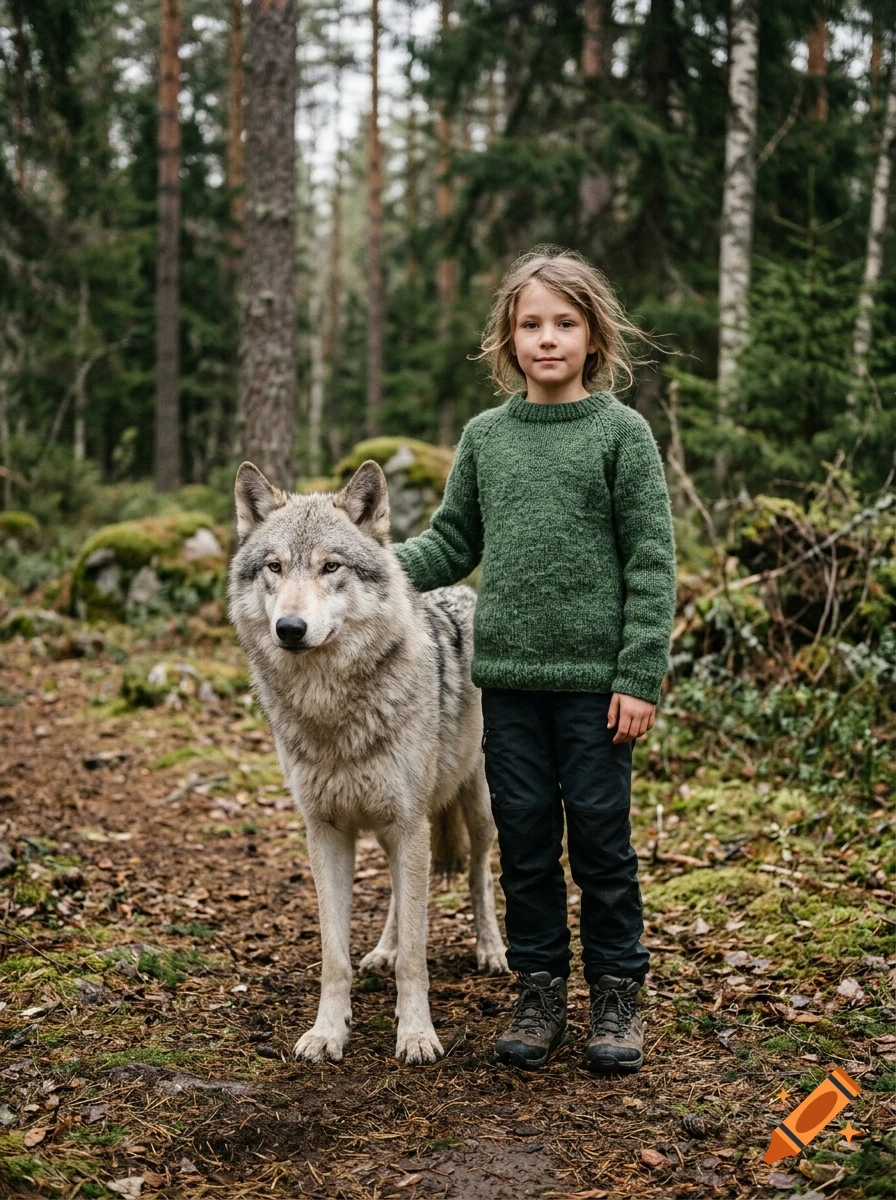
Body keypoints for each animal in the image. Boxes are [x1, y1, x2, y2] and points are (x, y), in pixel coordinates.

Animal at [228, 459, 508, 1065]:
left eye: (330, 566)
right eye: (275, 567)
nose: (289, 629)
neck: (332, 710)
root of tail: (462, 591)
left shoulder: (407, 822)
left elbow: (418, 957)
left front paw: (417, 1034)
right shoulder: (327, 830)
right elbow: (335, 956)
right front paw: (327, 1032)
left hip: (477, 807)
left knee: (479, 874)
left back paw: (491, 949)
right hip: (390, 827)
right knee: (402, 896)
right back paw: (382, 949)